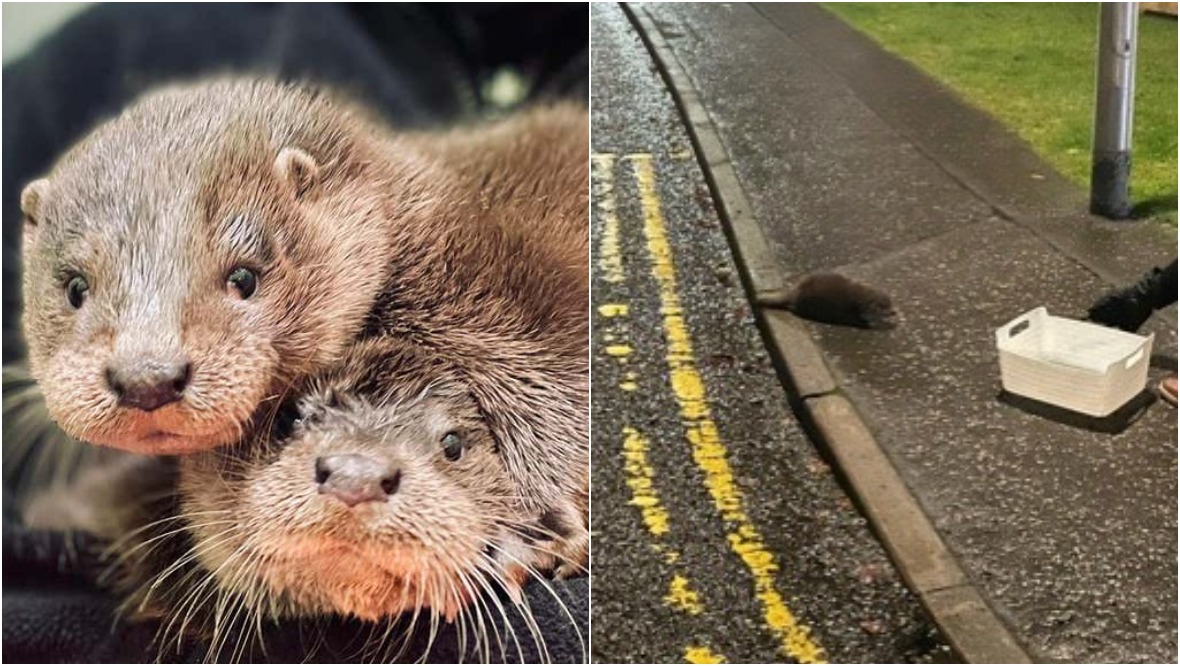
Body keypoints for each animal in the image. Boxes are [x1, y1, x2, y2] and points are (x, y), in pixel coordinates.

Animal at [755, 271, 892, 328]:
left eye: (891, 303)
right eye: (884, 308)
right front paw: (870, 323)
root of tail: (794, 292)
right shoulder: (854, 311)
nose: (894, 312)